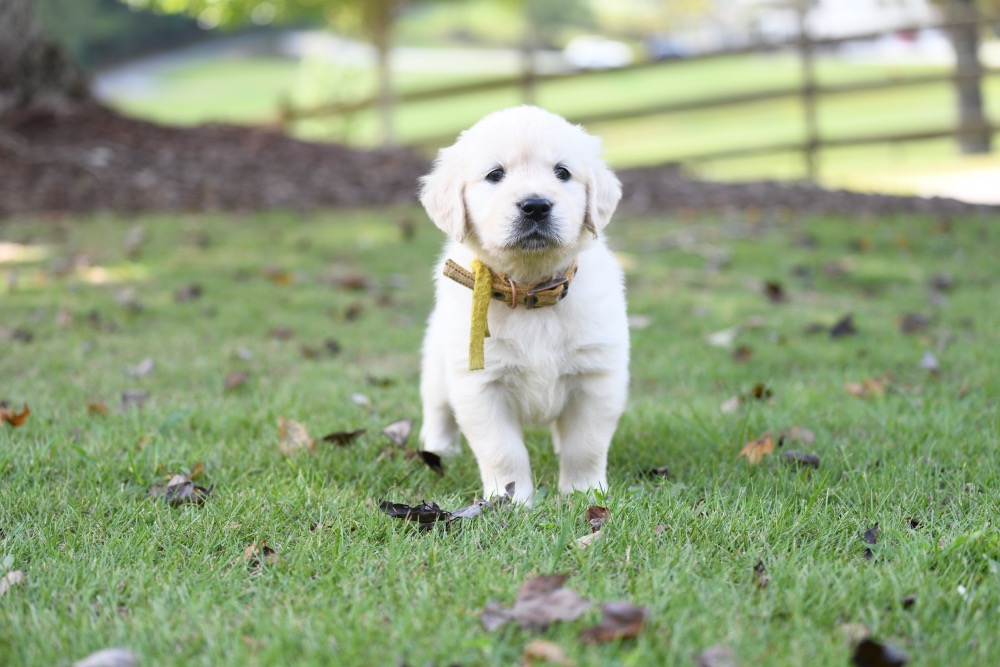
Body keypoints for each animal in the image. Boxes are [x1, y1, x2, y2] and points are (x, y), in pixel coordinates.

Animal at [420, 104, 624, 504]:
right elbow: (503, 451)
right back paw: (438, 449)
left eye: (562, 172)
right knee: (436, 408)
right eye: (495, 174)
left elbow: (586, 446)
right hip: (437, 365)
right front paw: (511, 500)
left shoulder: (596, 377)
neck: (531, 290)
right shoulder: (481, 385)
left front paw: (583, 493)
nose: (536, 205)